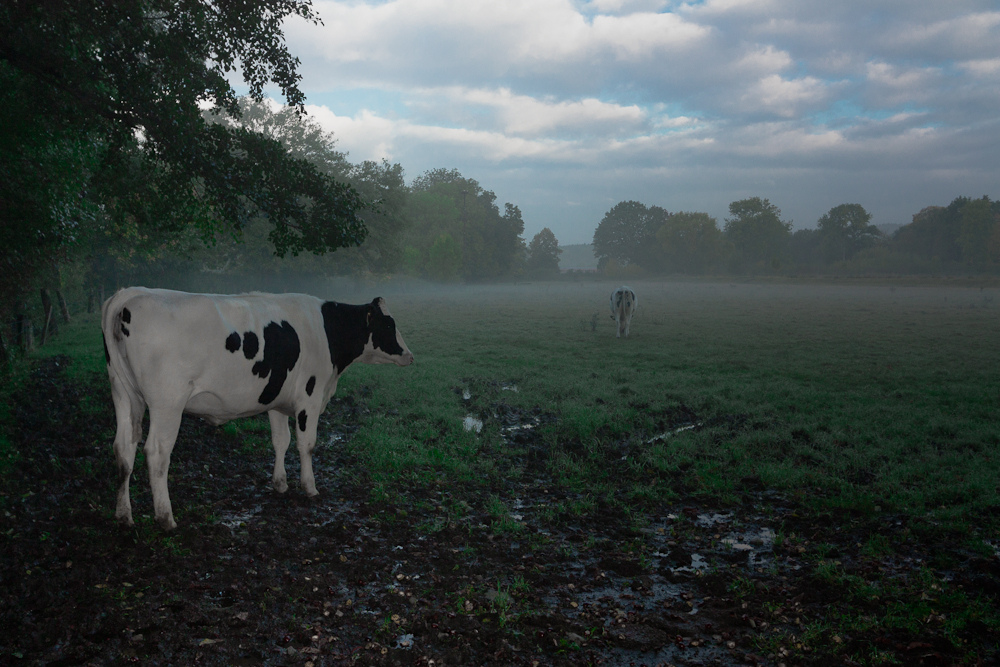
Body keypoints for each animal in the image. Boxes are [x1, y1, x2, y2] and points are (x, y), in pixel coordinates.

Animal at [101, 290, 414, 528]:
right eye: (389, 325)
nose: (410, 356)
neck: (326, 331)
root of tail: (129, 295)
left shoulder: (276, 400)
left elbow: (280, 441)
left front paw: (280, 483)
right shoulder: (309, 397)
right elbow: (307, 444)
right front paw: (310, 487)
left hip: (123, 394)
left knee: (123, 448)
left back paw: (123, 514)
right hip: (168, 402)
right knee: (156, 453)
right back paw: (166, 517)